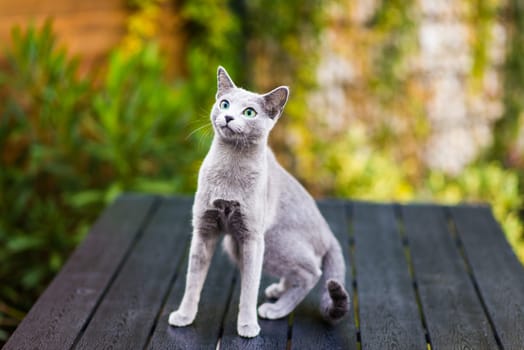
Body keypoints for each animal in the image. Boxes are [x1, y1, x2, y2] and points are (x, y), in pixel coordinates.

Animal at [169, 67, 348, 338]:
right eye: (224, 104)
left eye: (249, 112)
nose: (228, 117)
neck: (230, 168)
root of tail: (328, 233)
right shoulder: (204, 229)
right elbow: (193, 280)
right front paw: (184, 316)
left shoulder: (252, 237)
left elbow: (249, 288)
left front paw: (247, 326)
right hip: (237, 245)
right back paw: (278, 291)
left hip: (273, 241)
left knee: (311, 272)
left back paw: (276, 309)